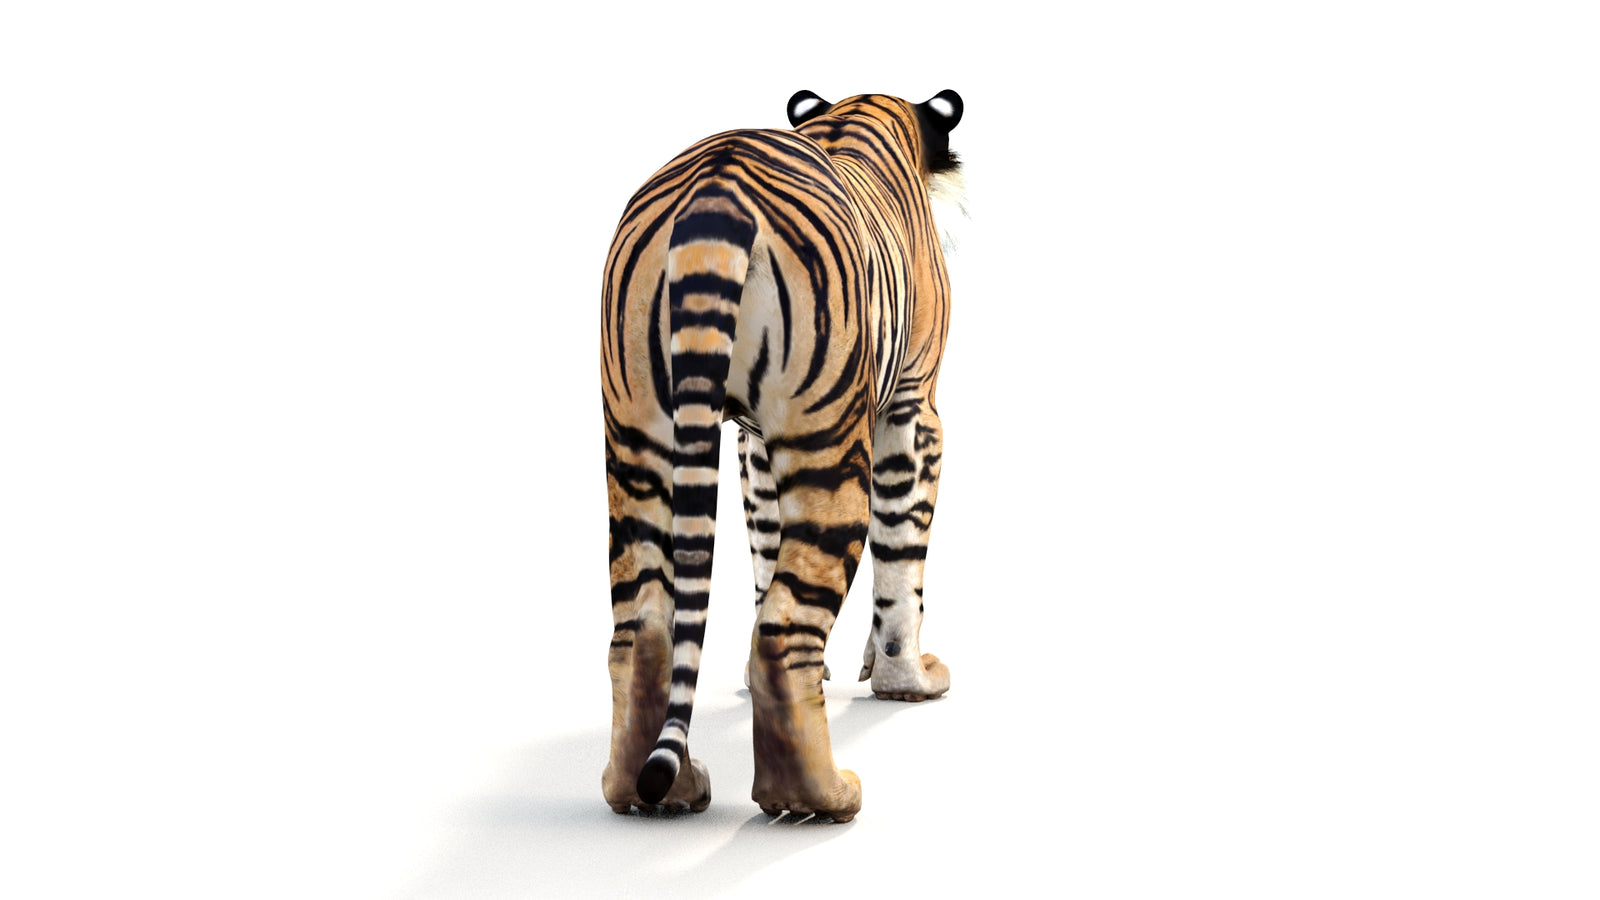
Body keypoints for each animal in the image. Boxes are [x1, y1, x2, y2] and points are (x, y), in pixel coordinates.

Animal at [601, 89, 964, 822]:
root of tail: (715, 187)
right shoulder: (913, 407)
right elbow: (902, 562)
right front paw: (905, 679)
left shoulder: (751, 439)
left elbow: (765, 554)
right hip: (830, 438)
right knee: (785, 630)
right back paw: (819, 798)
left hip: (637, 435)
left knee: (642, 629)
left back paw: (658, 793)